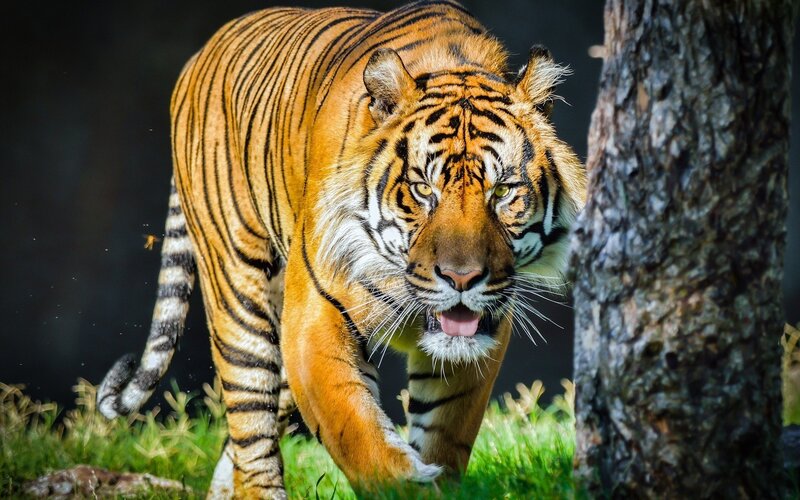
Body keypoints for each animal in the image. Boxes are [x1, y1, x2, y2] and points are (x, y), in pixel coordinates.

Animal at [96, 0, 586, 497]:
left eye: (503, 191)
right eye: (422, 189)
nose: (462, 278)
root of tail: (204, 50)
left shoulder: (483, 331)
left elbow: (445, 431)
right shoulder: (313, 316)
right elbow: (354, 429)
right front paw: (404, 481)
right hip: (237, 288)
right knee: (251, 426)